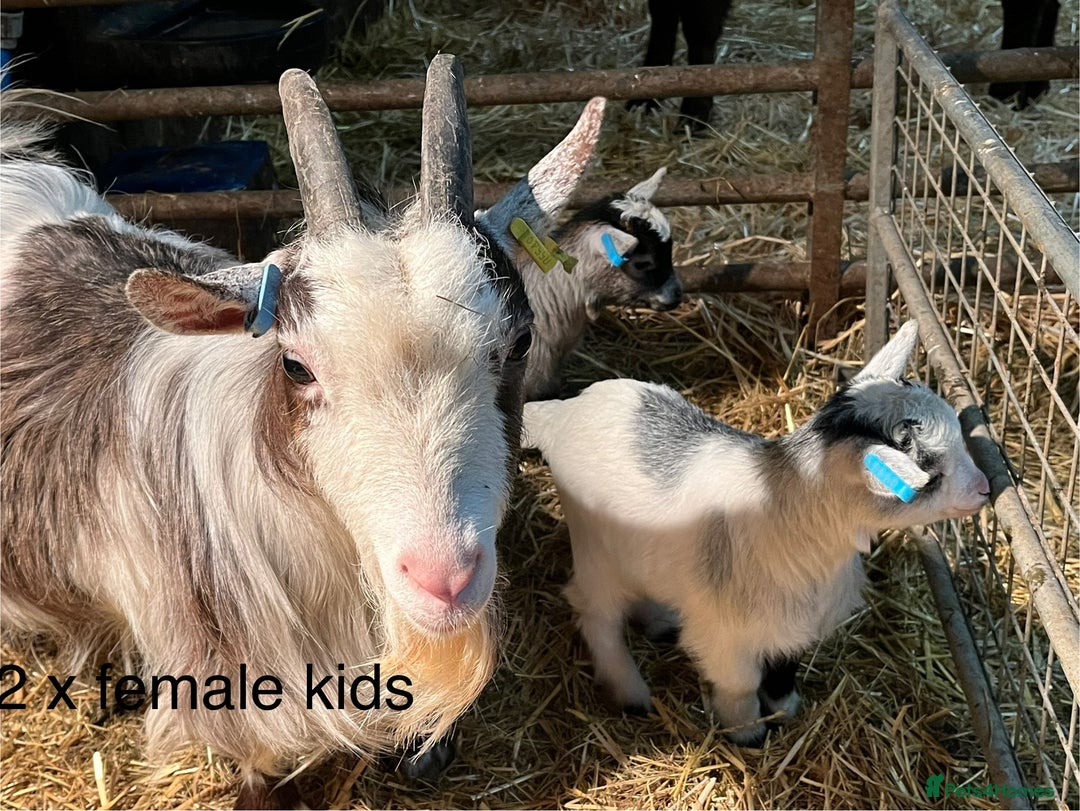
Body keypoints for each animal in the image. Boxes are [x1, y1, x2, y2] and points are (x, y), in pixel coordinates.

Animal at [522, 321, 990, 745]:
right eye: (931, 472)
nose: (986, 488)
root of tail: (562, 413)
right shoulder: (727, 635)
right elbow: (740, 685)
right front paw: (746, 734)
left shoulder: (793, 623)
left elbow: (784, 667)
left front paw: (785, 711)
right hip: (594, 550)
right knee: (594, 611)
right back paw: (630, 692)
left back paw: (660, 623)